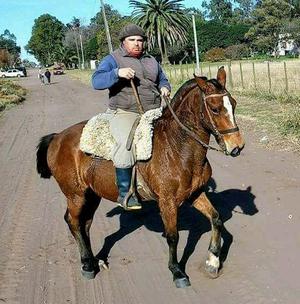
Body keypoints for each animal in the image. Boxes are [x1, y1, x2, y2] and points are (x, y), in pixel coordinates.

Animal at [36, 66, 245, 288]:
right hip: (75, 195)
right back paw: (86, 265)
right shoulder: (167, 202)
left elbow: (216, 219)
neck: (176, 147)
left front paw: (213, 261)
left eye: (233, 104)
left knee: (85, 223)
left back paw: (93, 261)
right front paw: (177, 271)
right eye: (214, 109)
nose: (237, 146)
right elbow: (173, 236)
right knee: (73, 222)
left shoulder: (195, 193)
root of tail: (57, 137)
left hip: (91, 195)